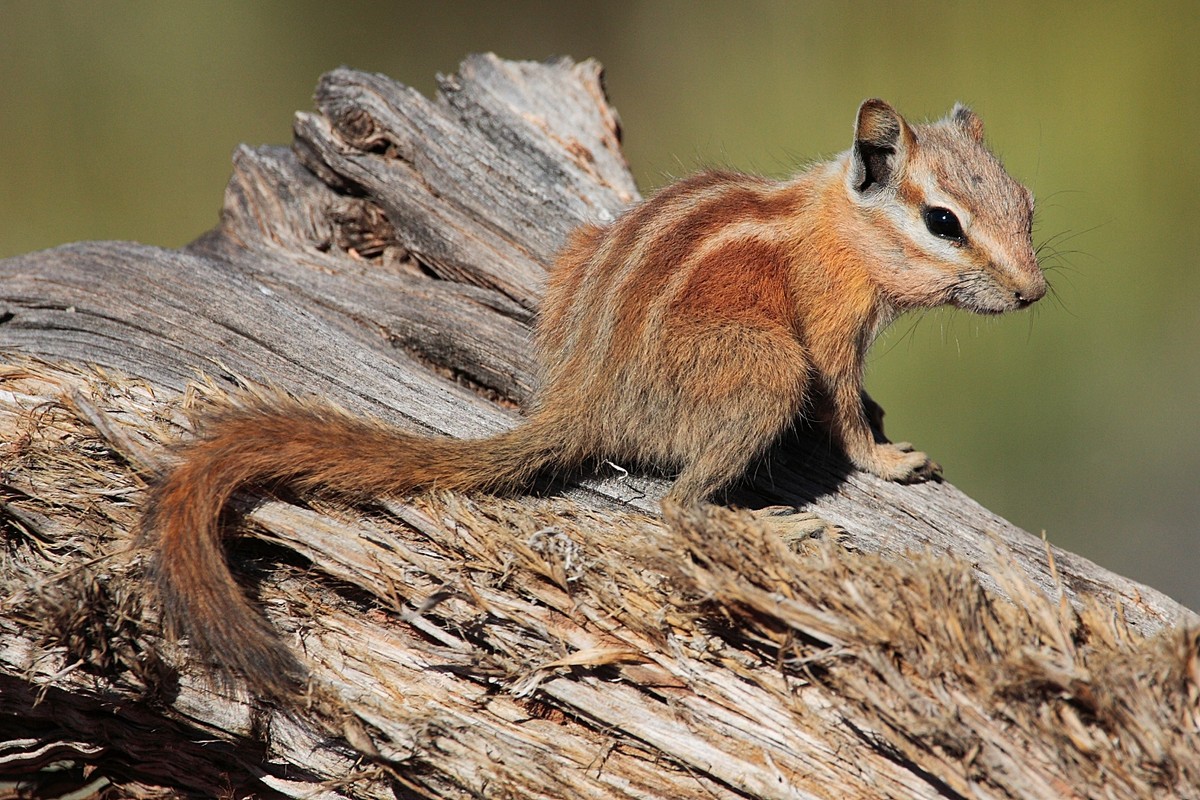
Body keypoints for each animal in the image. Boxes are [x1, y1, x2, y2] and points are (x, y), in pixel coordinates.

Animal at [141, 99, 1046, 699]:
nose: (1034, 293)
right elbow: (846, 415)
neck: (839, 226)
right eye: (942, 222)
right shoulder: (827, 331)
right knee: (680, 509)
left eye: (1028, 205)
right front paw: (889, 460)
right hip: (766, 372)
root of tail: (587, 394)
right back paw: (773, 529)